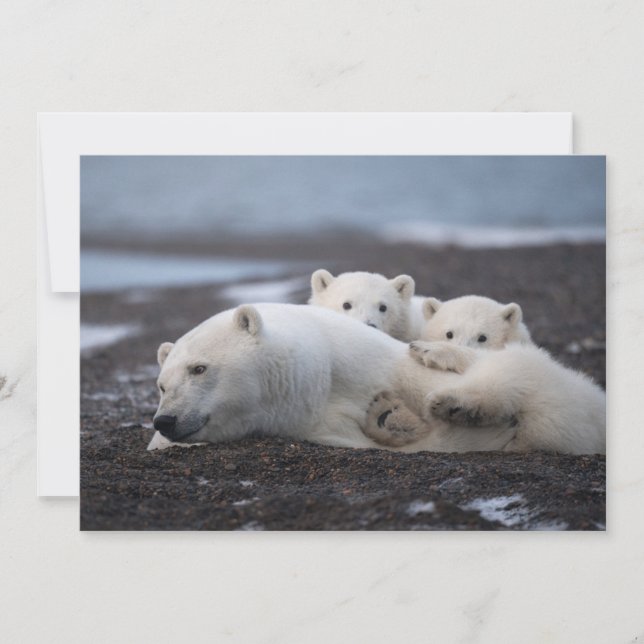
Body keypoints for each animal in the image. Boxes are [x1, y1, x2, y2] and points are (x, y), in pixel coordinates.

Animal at [150, 302, 605, 455]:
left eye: (199, 368)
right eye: (161, 385)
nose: (165, 419)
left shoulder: (358, 354)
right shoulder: (315, 423)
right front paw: (389, 417)